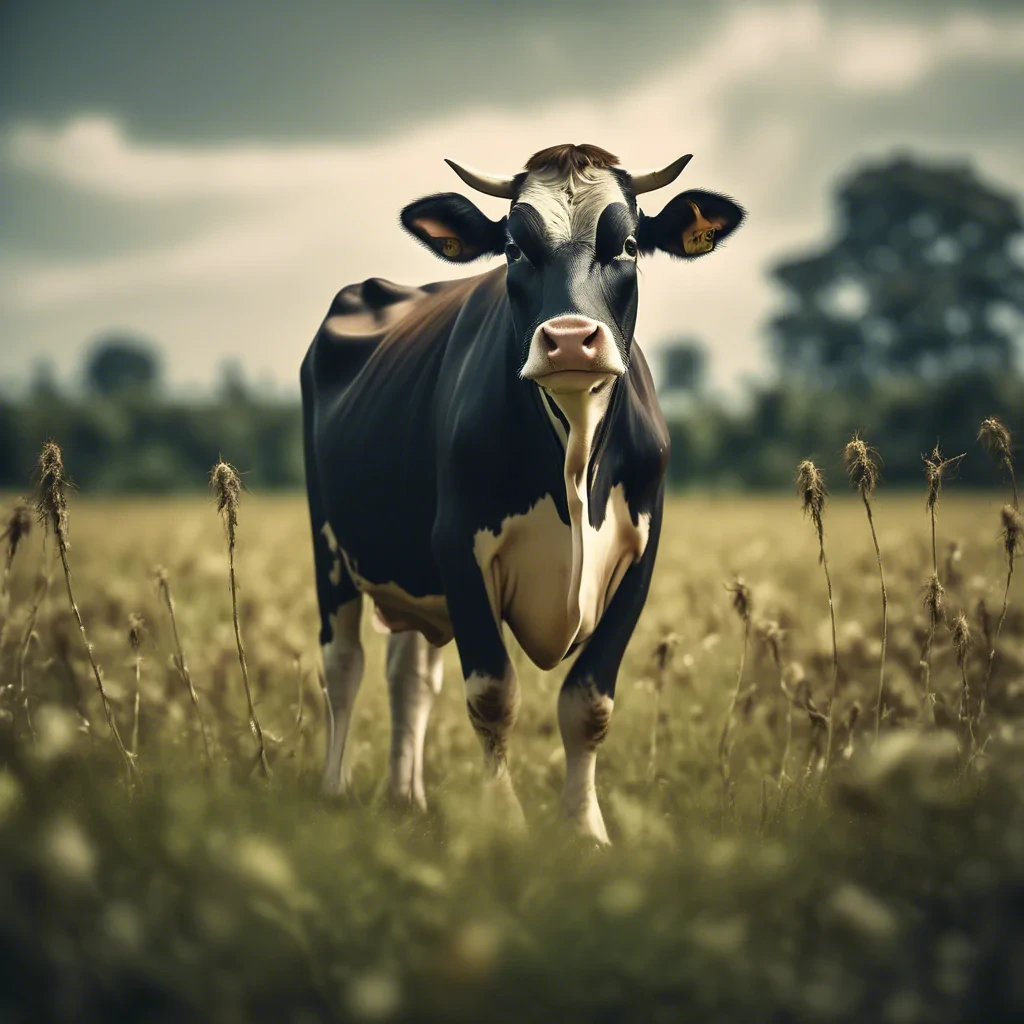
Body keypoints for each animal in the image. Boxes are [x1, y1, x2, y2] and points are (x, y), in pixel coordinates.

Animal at [301, 144, 744, 843]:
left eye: (629, 244)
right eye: (513, 248)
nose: (568, 340)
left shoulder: (640, 559)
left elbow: (589, 702)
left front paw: (585, 829)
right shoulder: (458, 548)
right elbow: (492, 695)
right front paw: (502, 824)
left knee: (408, 677)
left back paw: (406, 799)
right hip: (332, 548)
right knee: (343, 666)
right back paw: (335, 790)